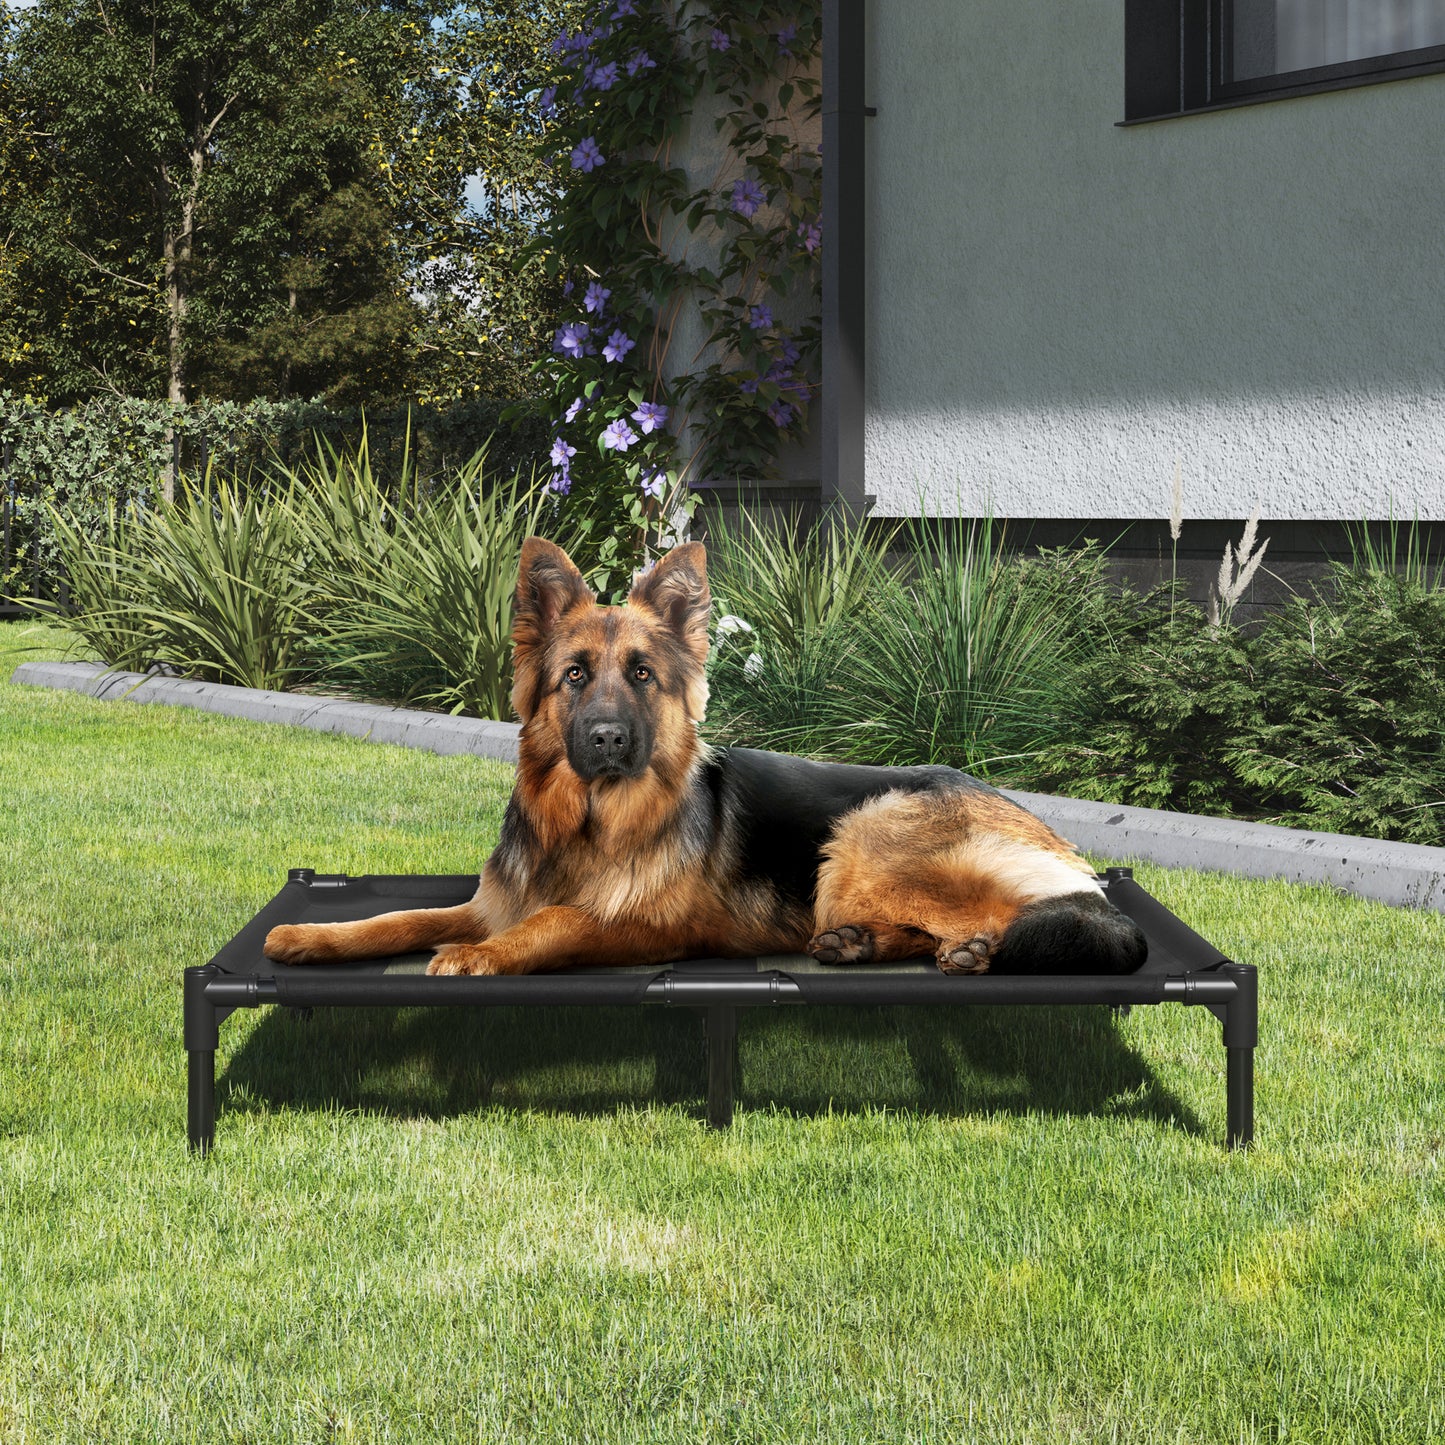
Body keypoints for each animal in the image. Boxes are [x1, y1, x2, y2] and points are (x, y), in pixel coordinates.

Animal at [265, 537, 1144, 976]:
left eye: (641, 676)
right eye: (574, 676)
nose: (607, 739)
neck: (590, 823)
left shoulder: (643, 929)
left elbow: (556, 920)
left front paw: (479, 958)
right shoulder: (492, 900)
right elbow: (400, 915)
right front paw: (314, 936)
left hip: (863, 837)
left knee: (1035, 917)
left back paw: (974, 949)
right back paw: (862, 945)